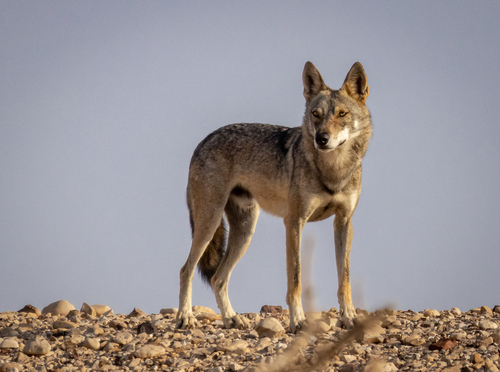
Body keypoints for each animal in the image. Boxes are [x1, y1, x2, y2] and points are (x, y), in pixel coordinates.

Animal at [176, 61, 372, 332]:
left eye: (342, 114)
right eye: (316, 114)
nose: (321, 139)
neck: (333, 171)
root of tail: (203, 140)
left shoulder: (343, 222)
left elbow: (345, 278)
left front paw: (349, 317)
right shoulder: (294, 222)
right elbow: (296, 280)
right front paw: (298, 321)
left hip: (245, 232)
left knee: (218, 278)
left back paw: (231, 318)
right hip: (210, 224)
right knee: (186, 270)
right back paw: (185, 317)